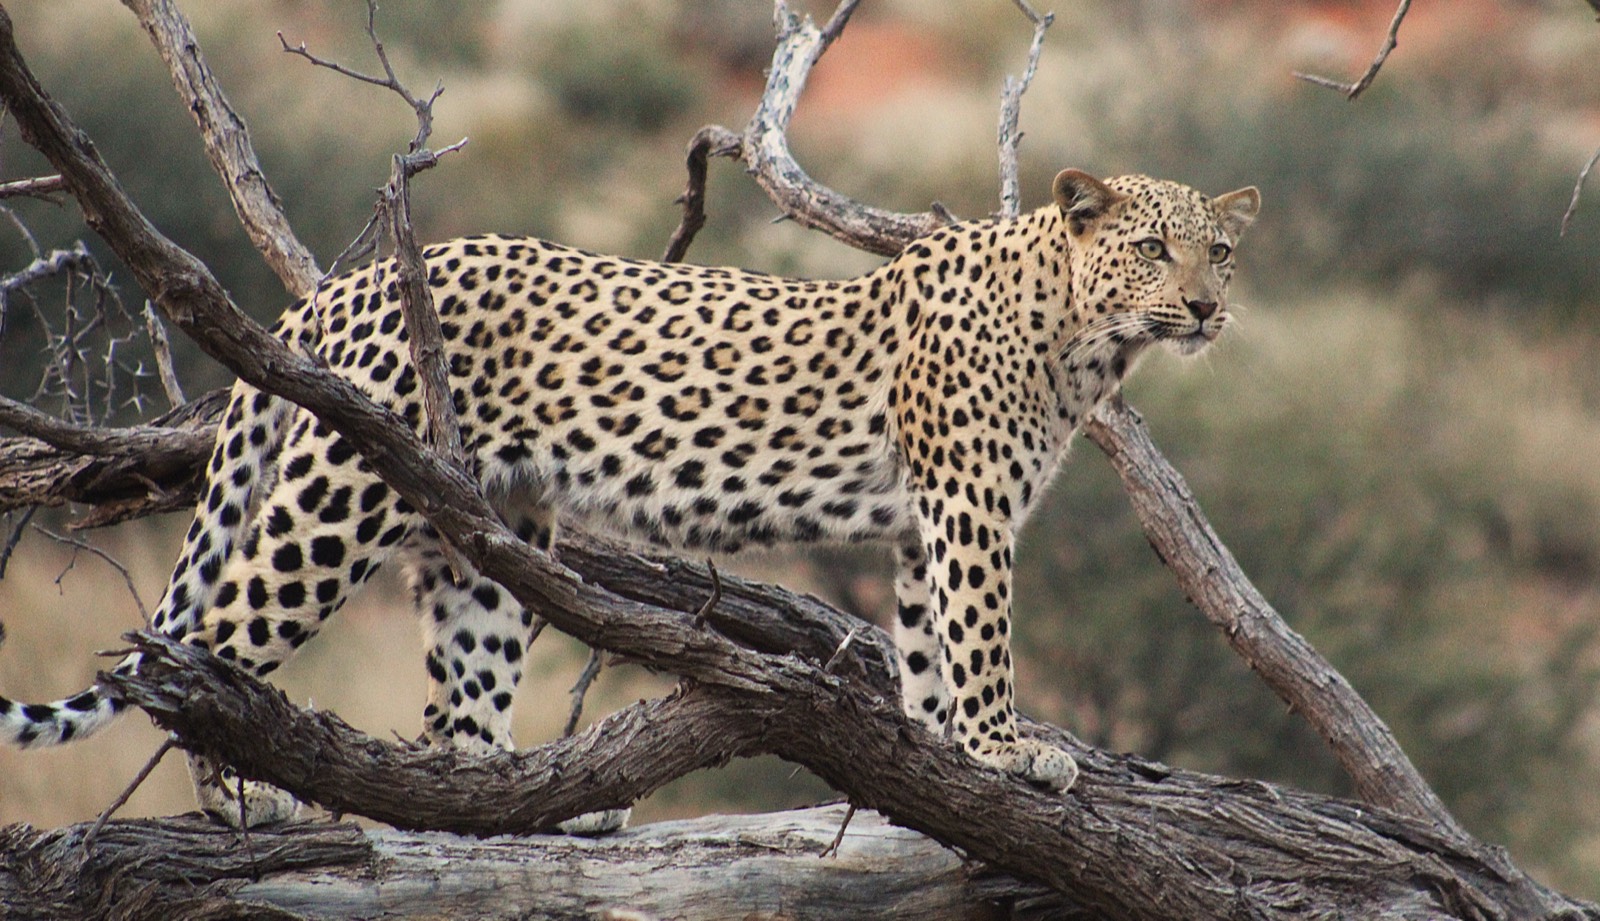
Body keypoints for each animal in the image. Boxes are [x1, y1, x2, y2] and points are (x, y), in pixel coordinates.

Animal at [0, 169, 1258, 830]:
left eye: (1222, 253)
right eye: (1154, 250)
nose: (1206, 310)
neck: (1084, 341)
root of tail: (340, 291)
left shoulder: (924, 524)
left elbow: (925, 646)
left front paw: (939, 745)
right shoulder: (966, 504)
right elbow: (982, 634)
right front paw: (1005, 750)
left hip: (491, 522)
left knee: (458, 699)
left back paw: (527, 798)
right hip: (337, 496)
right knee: (207, 638)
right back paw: (245, 798)